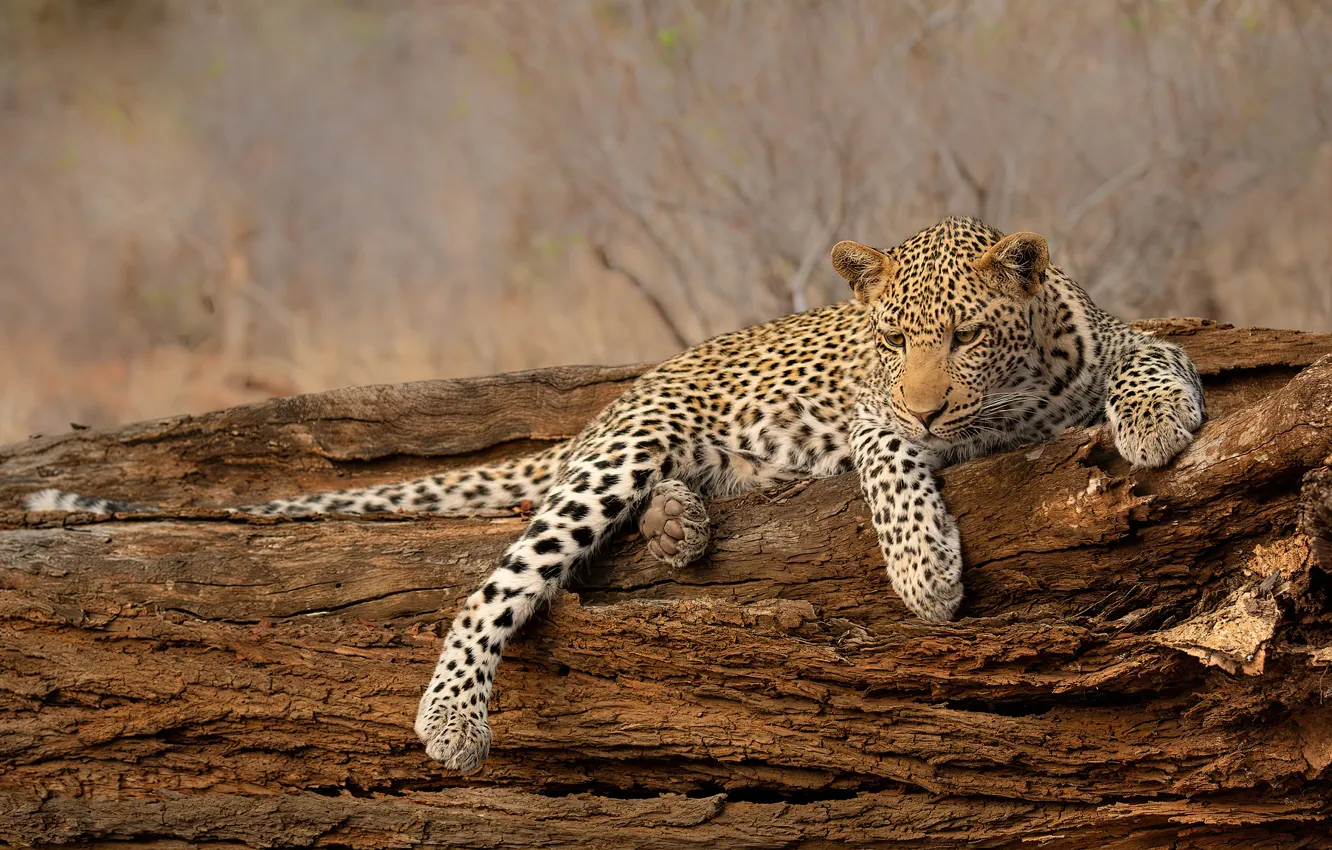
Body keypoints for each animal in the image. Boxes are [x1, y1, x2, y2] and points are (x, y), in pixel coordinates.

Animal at [22, 216, 1207, 775]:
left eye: (963, 335)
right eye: (887, 343)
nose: (926, 401)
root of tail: (617, 399)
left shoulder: (1111, 338)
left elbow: (1153, 356)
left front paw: (1153, 421)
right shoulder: (879, 420)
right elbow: (896, 468)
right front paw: (925, 573)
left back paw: (682, 524)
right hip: (619, 457)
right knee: (496, 585)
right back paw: (454, 714)